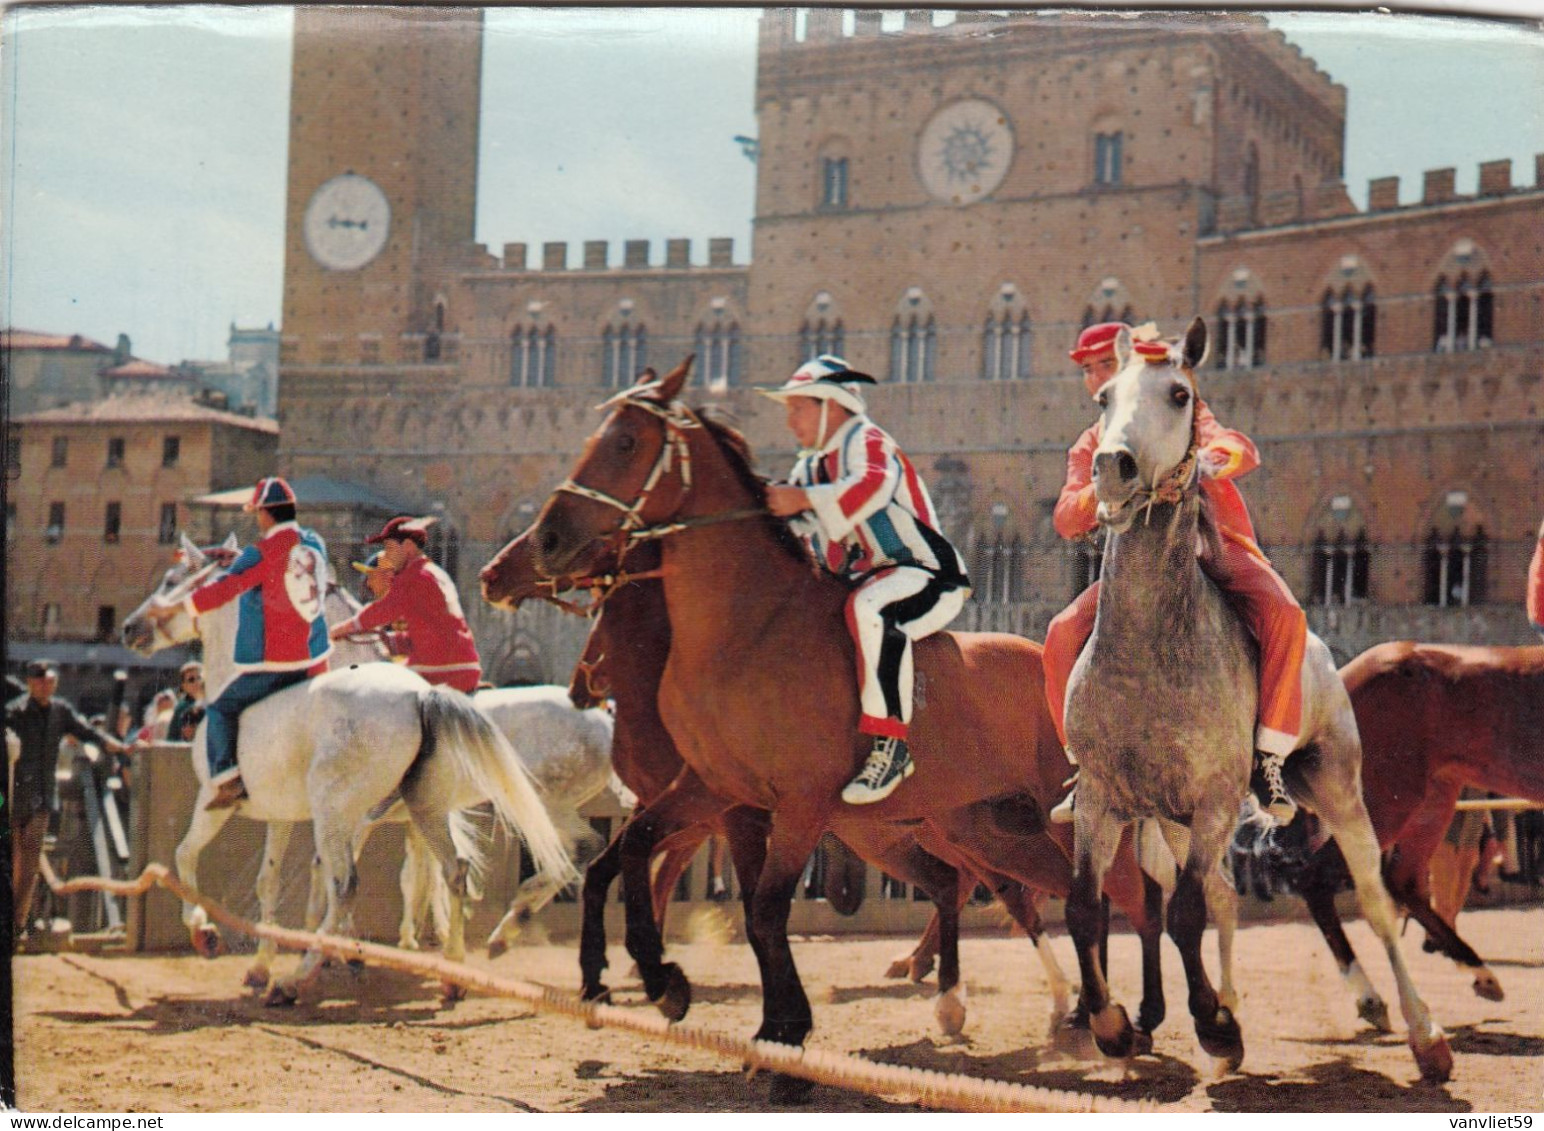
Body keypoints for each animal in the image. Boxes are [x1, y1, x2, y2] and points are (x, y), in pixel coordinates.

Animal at [121, 536, 580, 1006]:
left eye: (171, 580)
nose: (130, 629)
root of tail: (422, 696)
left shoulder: (216, 802)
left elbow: (185, 855)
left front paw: (207, 933)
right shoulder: (282, 816)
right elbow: (270, 882)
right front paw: (261, 966)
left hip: (349, 813)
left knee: (350, 886)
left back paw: (298, 979)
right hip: (425, 810)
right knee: (454, 871)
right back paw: (453, 971)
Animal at [524, 359, 1161, 1092]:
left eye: (626, 441)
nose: (547, 539)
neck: (745, 628)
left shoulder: (798, 804)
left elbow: (765, 908)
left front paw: (782, 1044)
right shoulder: (715, 789)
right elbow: (633, 856)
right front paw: (671, 985)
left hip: (1067, 818)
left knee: (1118, 898)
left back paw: (1128, 1022)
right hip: (993, 830)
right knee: (1052, 898)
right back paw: (1089, 1016)